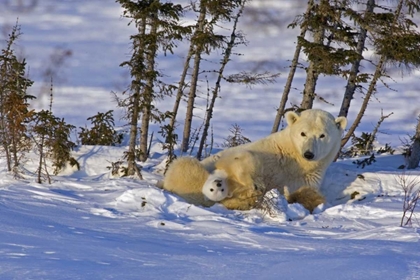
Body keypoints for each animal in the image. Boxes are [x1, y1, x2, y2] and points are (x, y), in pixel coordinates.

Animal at [162, 108, 346, 211]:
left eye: (322, 135)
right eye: (303, 133)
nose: (308, 154)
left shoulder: (308, 177)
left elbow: (304, 193)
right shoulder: (268, 151)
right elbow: (242, 158)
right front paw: (255, 184)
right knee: (184, 167)